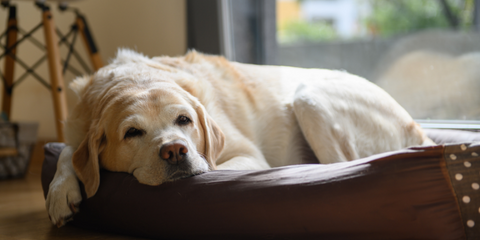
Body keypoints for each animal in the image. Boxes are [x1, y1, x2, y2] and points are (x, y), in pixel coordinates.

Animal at [47, 49, 434, 227]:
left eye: (184, 120)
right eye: (132, 133)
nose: (175, 150)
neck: (136, 78)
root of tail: (420, 129)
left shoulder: (243, 153)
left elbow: (216, 168)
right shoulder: (78, 129)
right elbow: (68, 151)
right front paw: (61, 192)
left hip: (309, 98)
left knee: (343, 165)